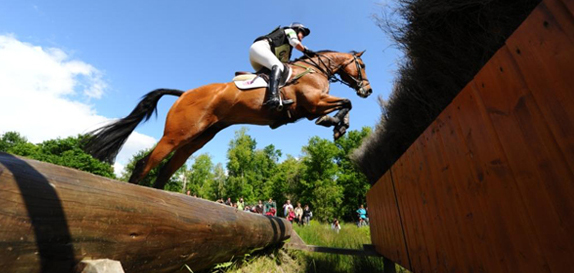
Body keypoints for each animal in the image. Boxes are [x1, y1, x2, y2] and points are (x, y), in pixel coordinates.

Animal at [84, 49, 374, 189]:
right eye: (362, 66)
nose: (368, 90)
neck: (314, 69)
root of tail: (184, 93)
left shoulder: (312, 108)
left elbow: (340, 107)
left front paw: (336, 125)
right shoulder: (313, 102)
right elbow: (345, 102)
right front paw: (339, 125)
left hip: (197, 138)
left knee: (167, 169)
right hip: (176, 135)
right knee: (145, 164)